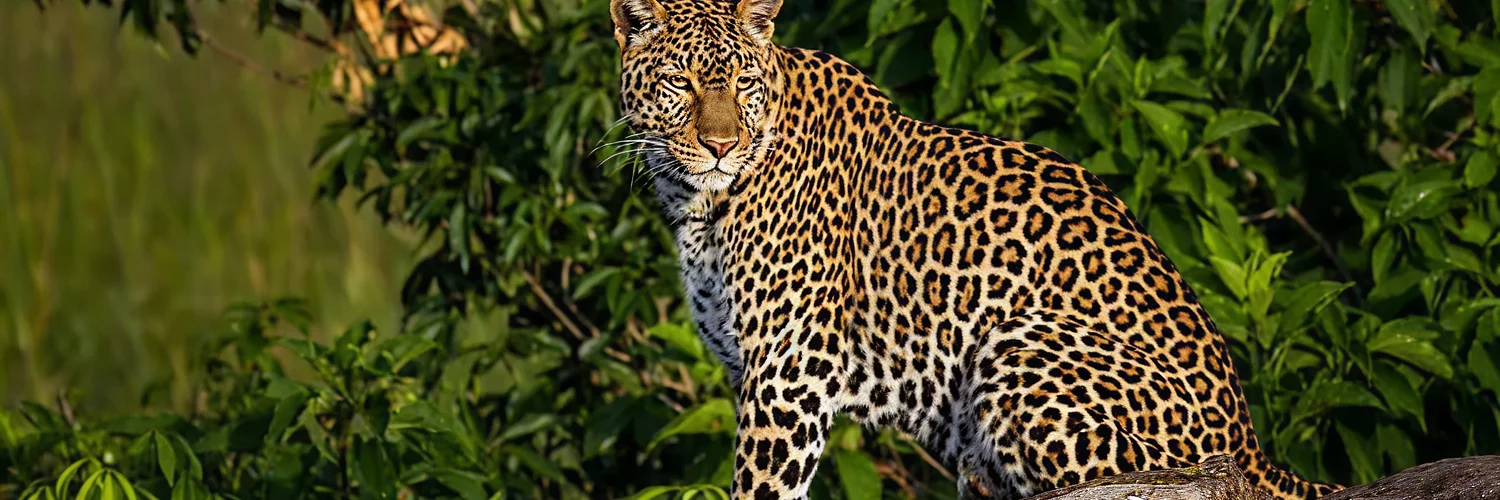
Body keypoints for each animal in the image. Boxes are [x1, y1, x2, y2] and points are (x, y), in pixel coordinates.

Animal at [606, 0, 1345, 498]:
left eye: (744, 85)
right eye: (679, 83)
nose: (720, 145)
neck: (697, 202)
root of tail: (1252, 451)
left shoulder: (789, 371)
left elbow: (762, 486)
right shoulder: (748, 370)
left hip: (1019, 346)